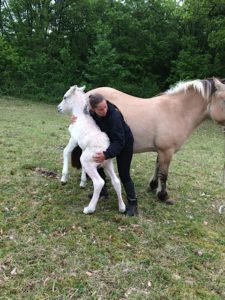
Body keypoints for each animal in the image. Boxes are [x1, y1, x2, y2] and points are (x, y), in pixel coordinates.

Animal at [57, 85, 125, 214]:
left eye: (65, 97)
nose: (58, 108)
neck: (80, 116)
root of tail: (105, 150)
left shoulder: (74, 139)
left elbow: (66, 151)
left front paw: (63, 178)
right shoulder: (83, 147)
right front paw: (82, 182)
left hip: (89, 162)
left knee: (99, 182)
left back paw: (89, 209)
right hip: (108, 164)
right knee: (116, 181)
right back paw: (122, 207)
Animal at [71, 77, 225, 204]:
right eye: (224, 100)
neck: (176, 111)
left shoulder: (162, 151)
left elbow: (157, 167)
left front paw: (153, 186)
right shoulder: (167, 151)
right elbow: (164, 174)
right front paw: (163, 196)